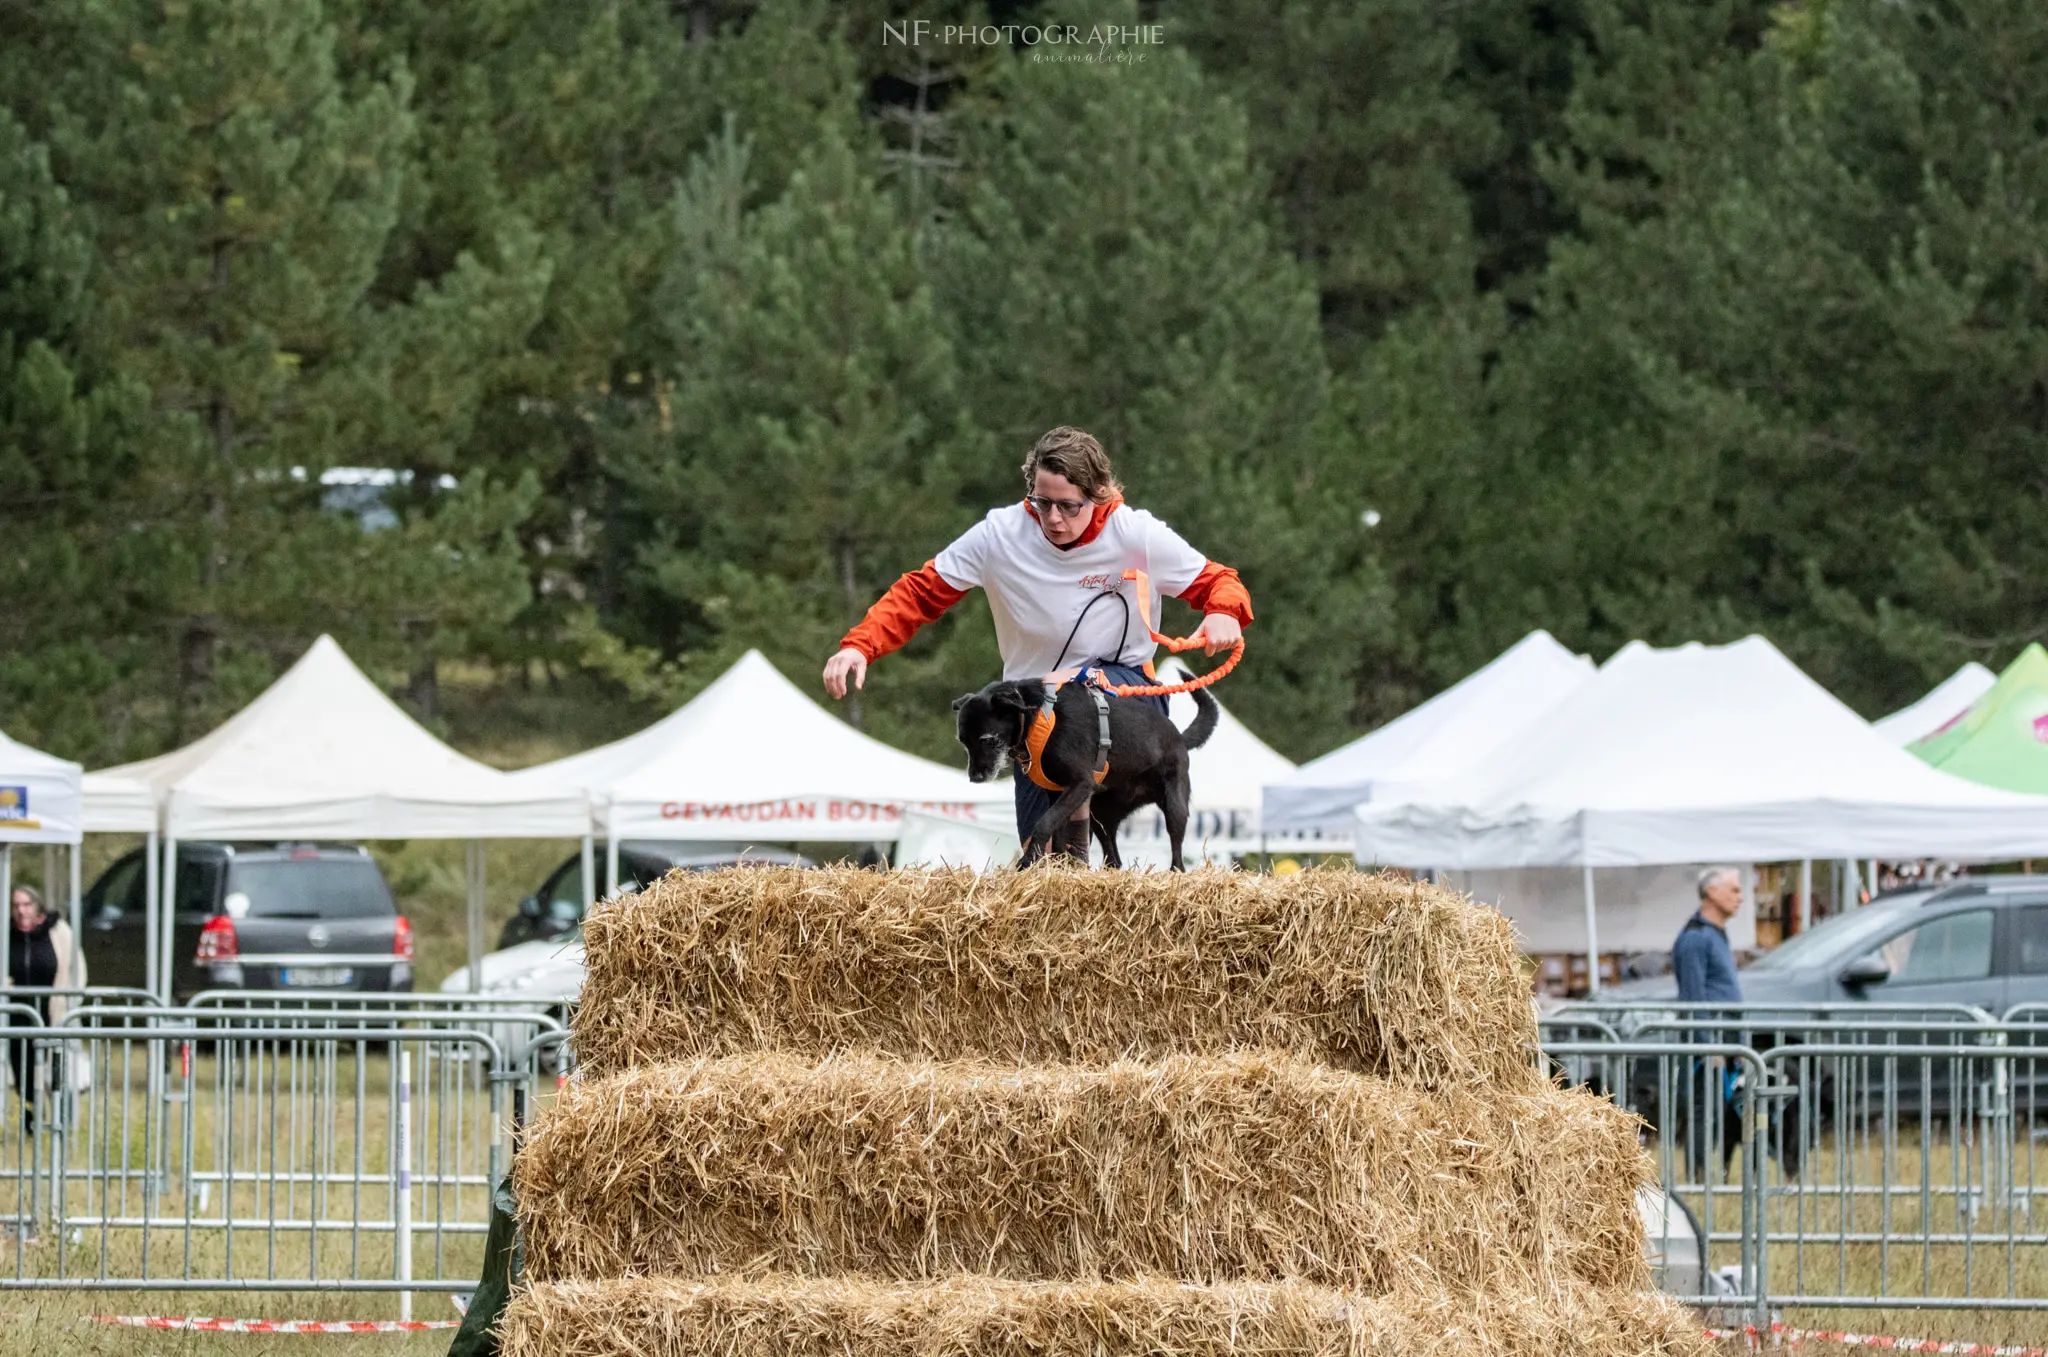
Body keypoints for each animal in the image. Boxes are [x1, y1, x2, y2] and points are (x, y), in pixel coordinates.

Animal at [954, 679, 1220, 871]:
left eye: (987, 740)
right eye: (963, 741)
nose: (975, 778)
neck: (1035, 716)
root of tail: (1179, 738)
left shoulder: (1080, 784)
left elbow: (1044, 823)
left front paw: (1027, 862)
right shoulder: (1057, 793)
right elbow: (1057, 834)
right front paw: (1057, 868)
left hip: (1175, 805)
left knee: (1177, 849)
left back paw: (1176, 872)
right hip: (1100, 815)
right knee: (1114, 858)